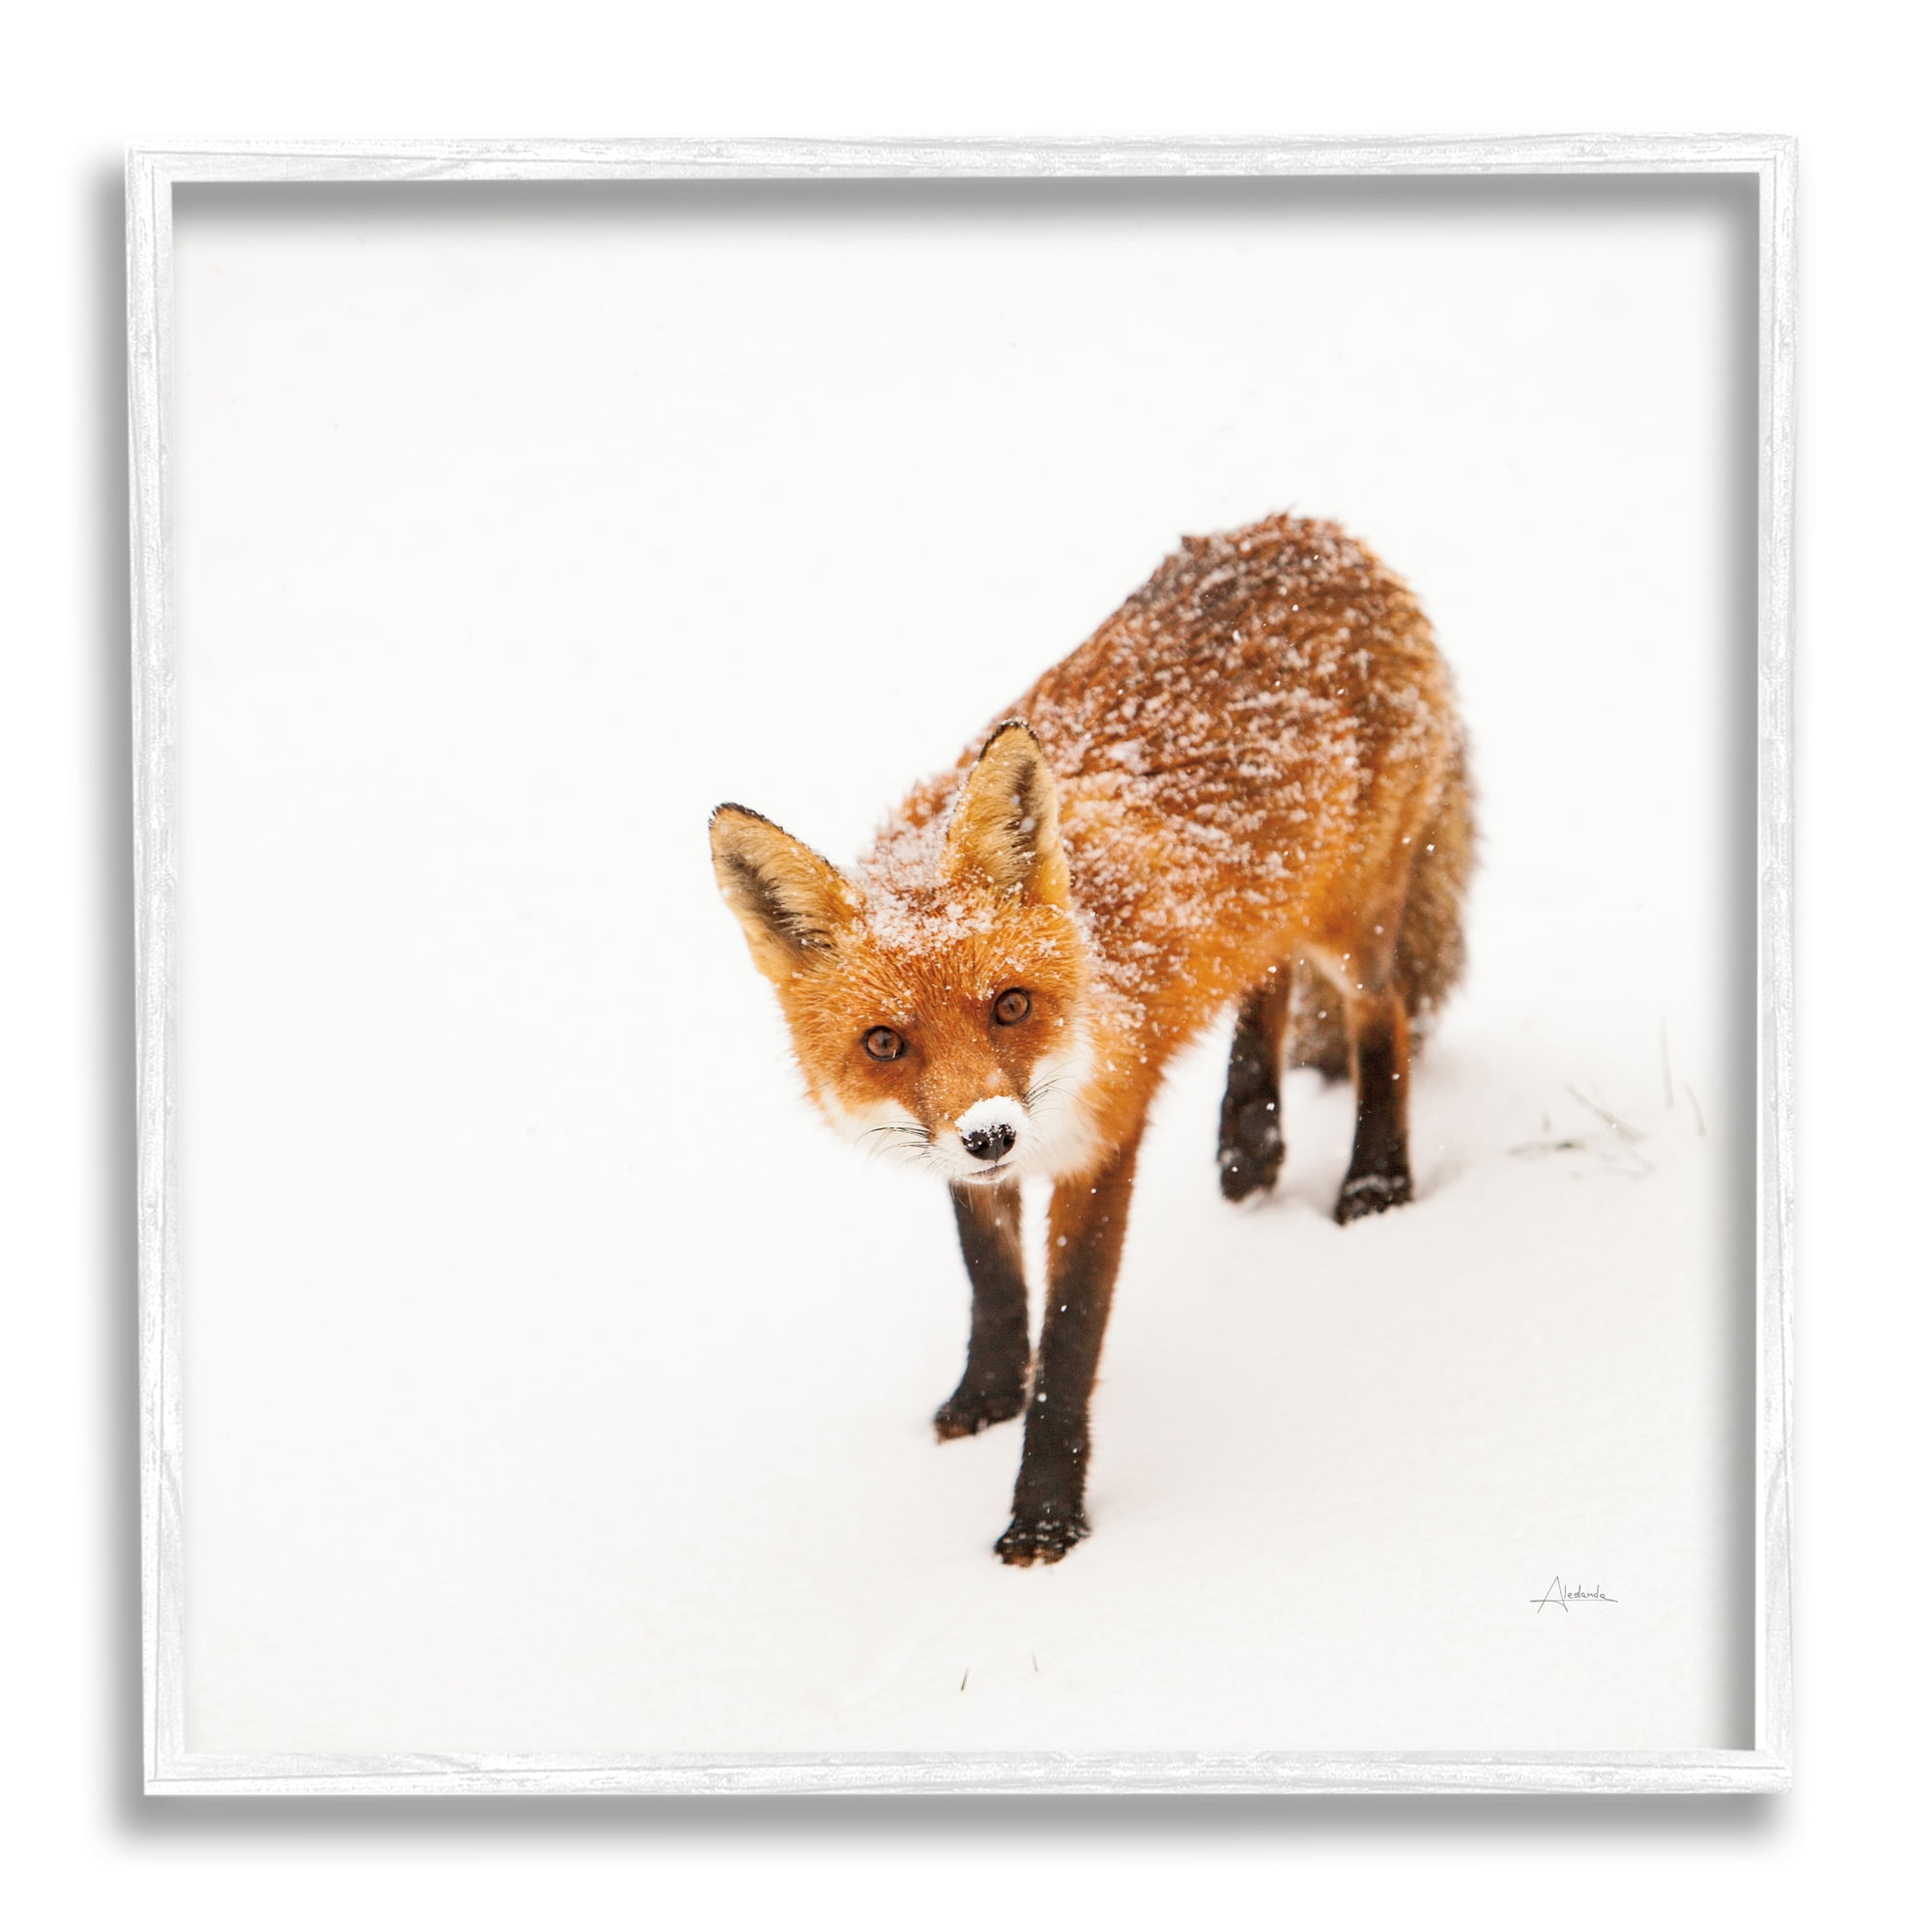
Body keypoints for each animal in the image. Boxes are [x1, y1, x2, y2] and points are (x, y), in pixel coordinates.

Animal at [709, 512, 1473, 1566]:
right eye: (884, 1043)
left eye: (1010, 1005)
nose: (991, 1134)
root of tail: (1309, 528)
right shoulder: (963, 1156)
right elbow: (990, 1280)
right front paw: (986, 1393)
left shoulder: (1104, 1141)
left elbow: (1069, 1341)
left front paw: (1044, 1515)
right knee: (1264, 974)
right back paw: (1249, 1140)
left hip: (1351, 922)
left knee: (1380, 1017)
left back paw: (1374, 1182)